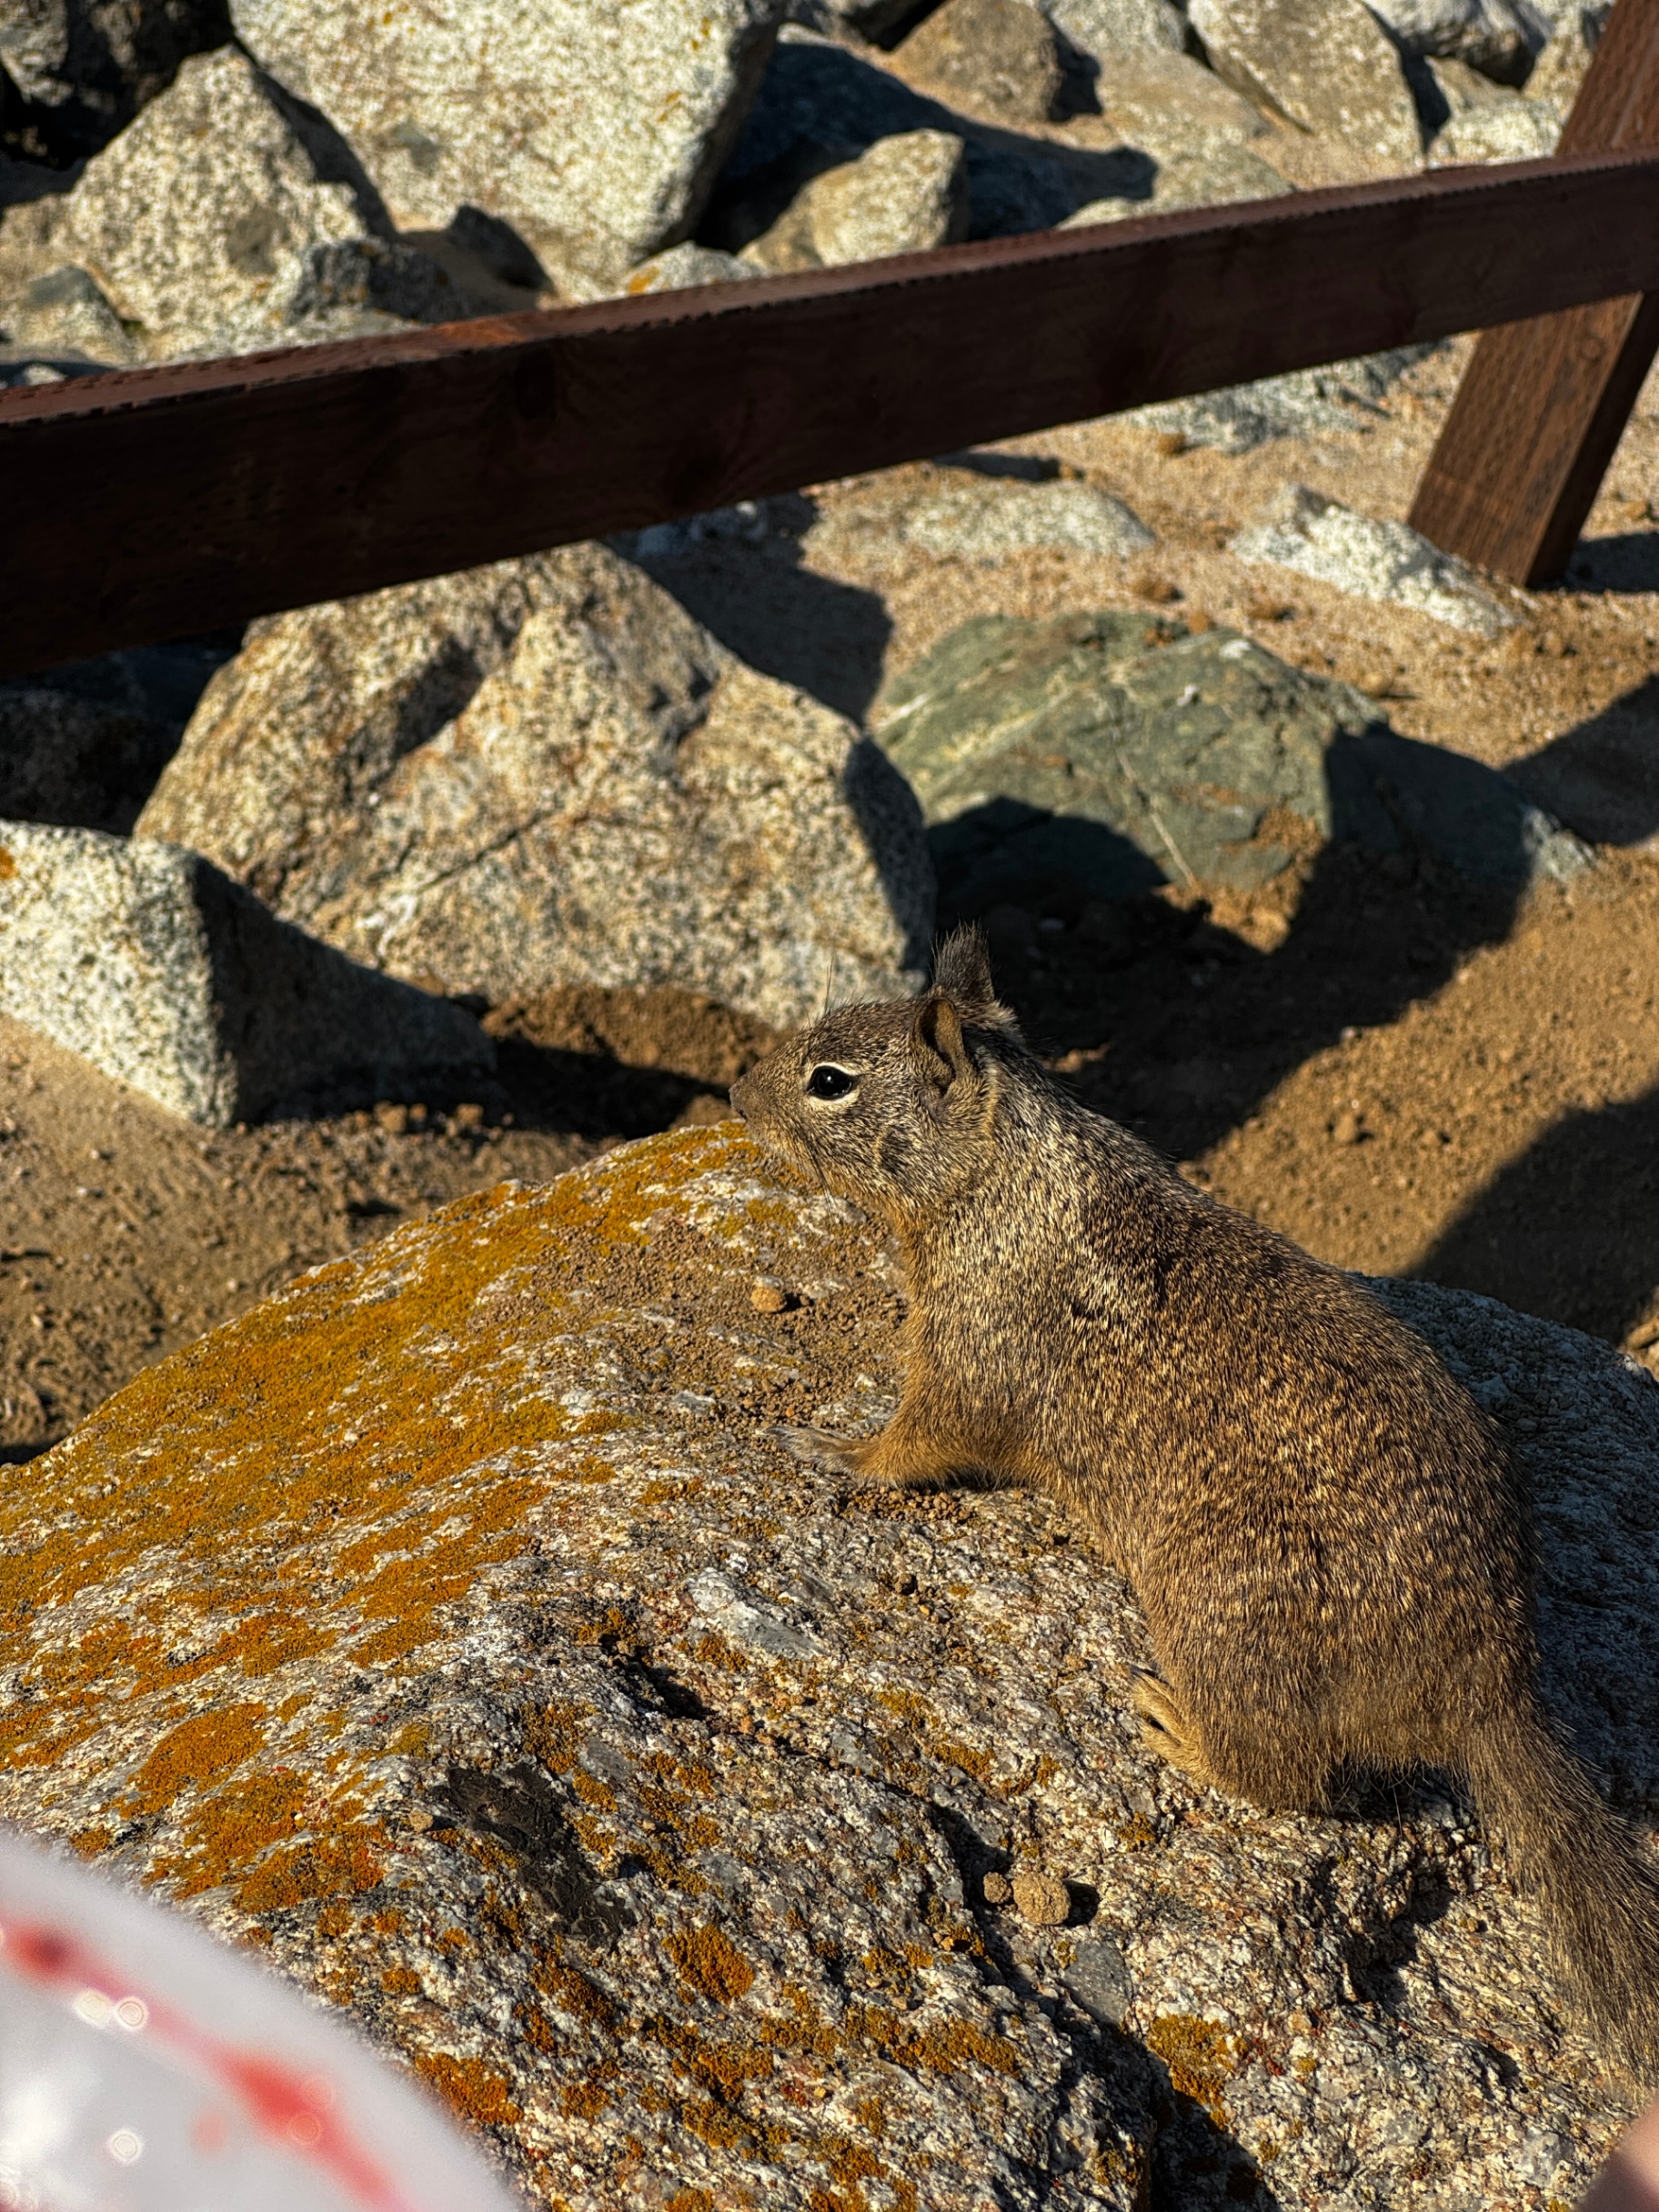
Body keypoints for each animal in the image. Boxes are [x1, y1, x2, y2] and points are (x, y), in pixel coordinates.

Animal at [730, 925, 1659, 2080]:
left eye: (830, 1080)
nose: (733, 1094)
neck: (1001, 1172)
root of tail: (1491, 1686)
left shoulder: (970, 1351)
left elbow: (923, 1438)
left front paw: (841, 1448)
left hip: (1223, 1628)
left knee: (1296, 1780)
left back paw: (1178, 1727)